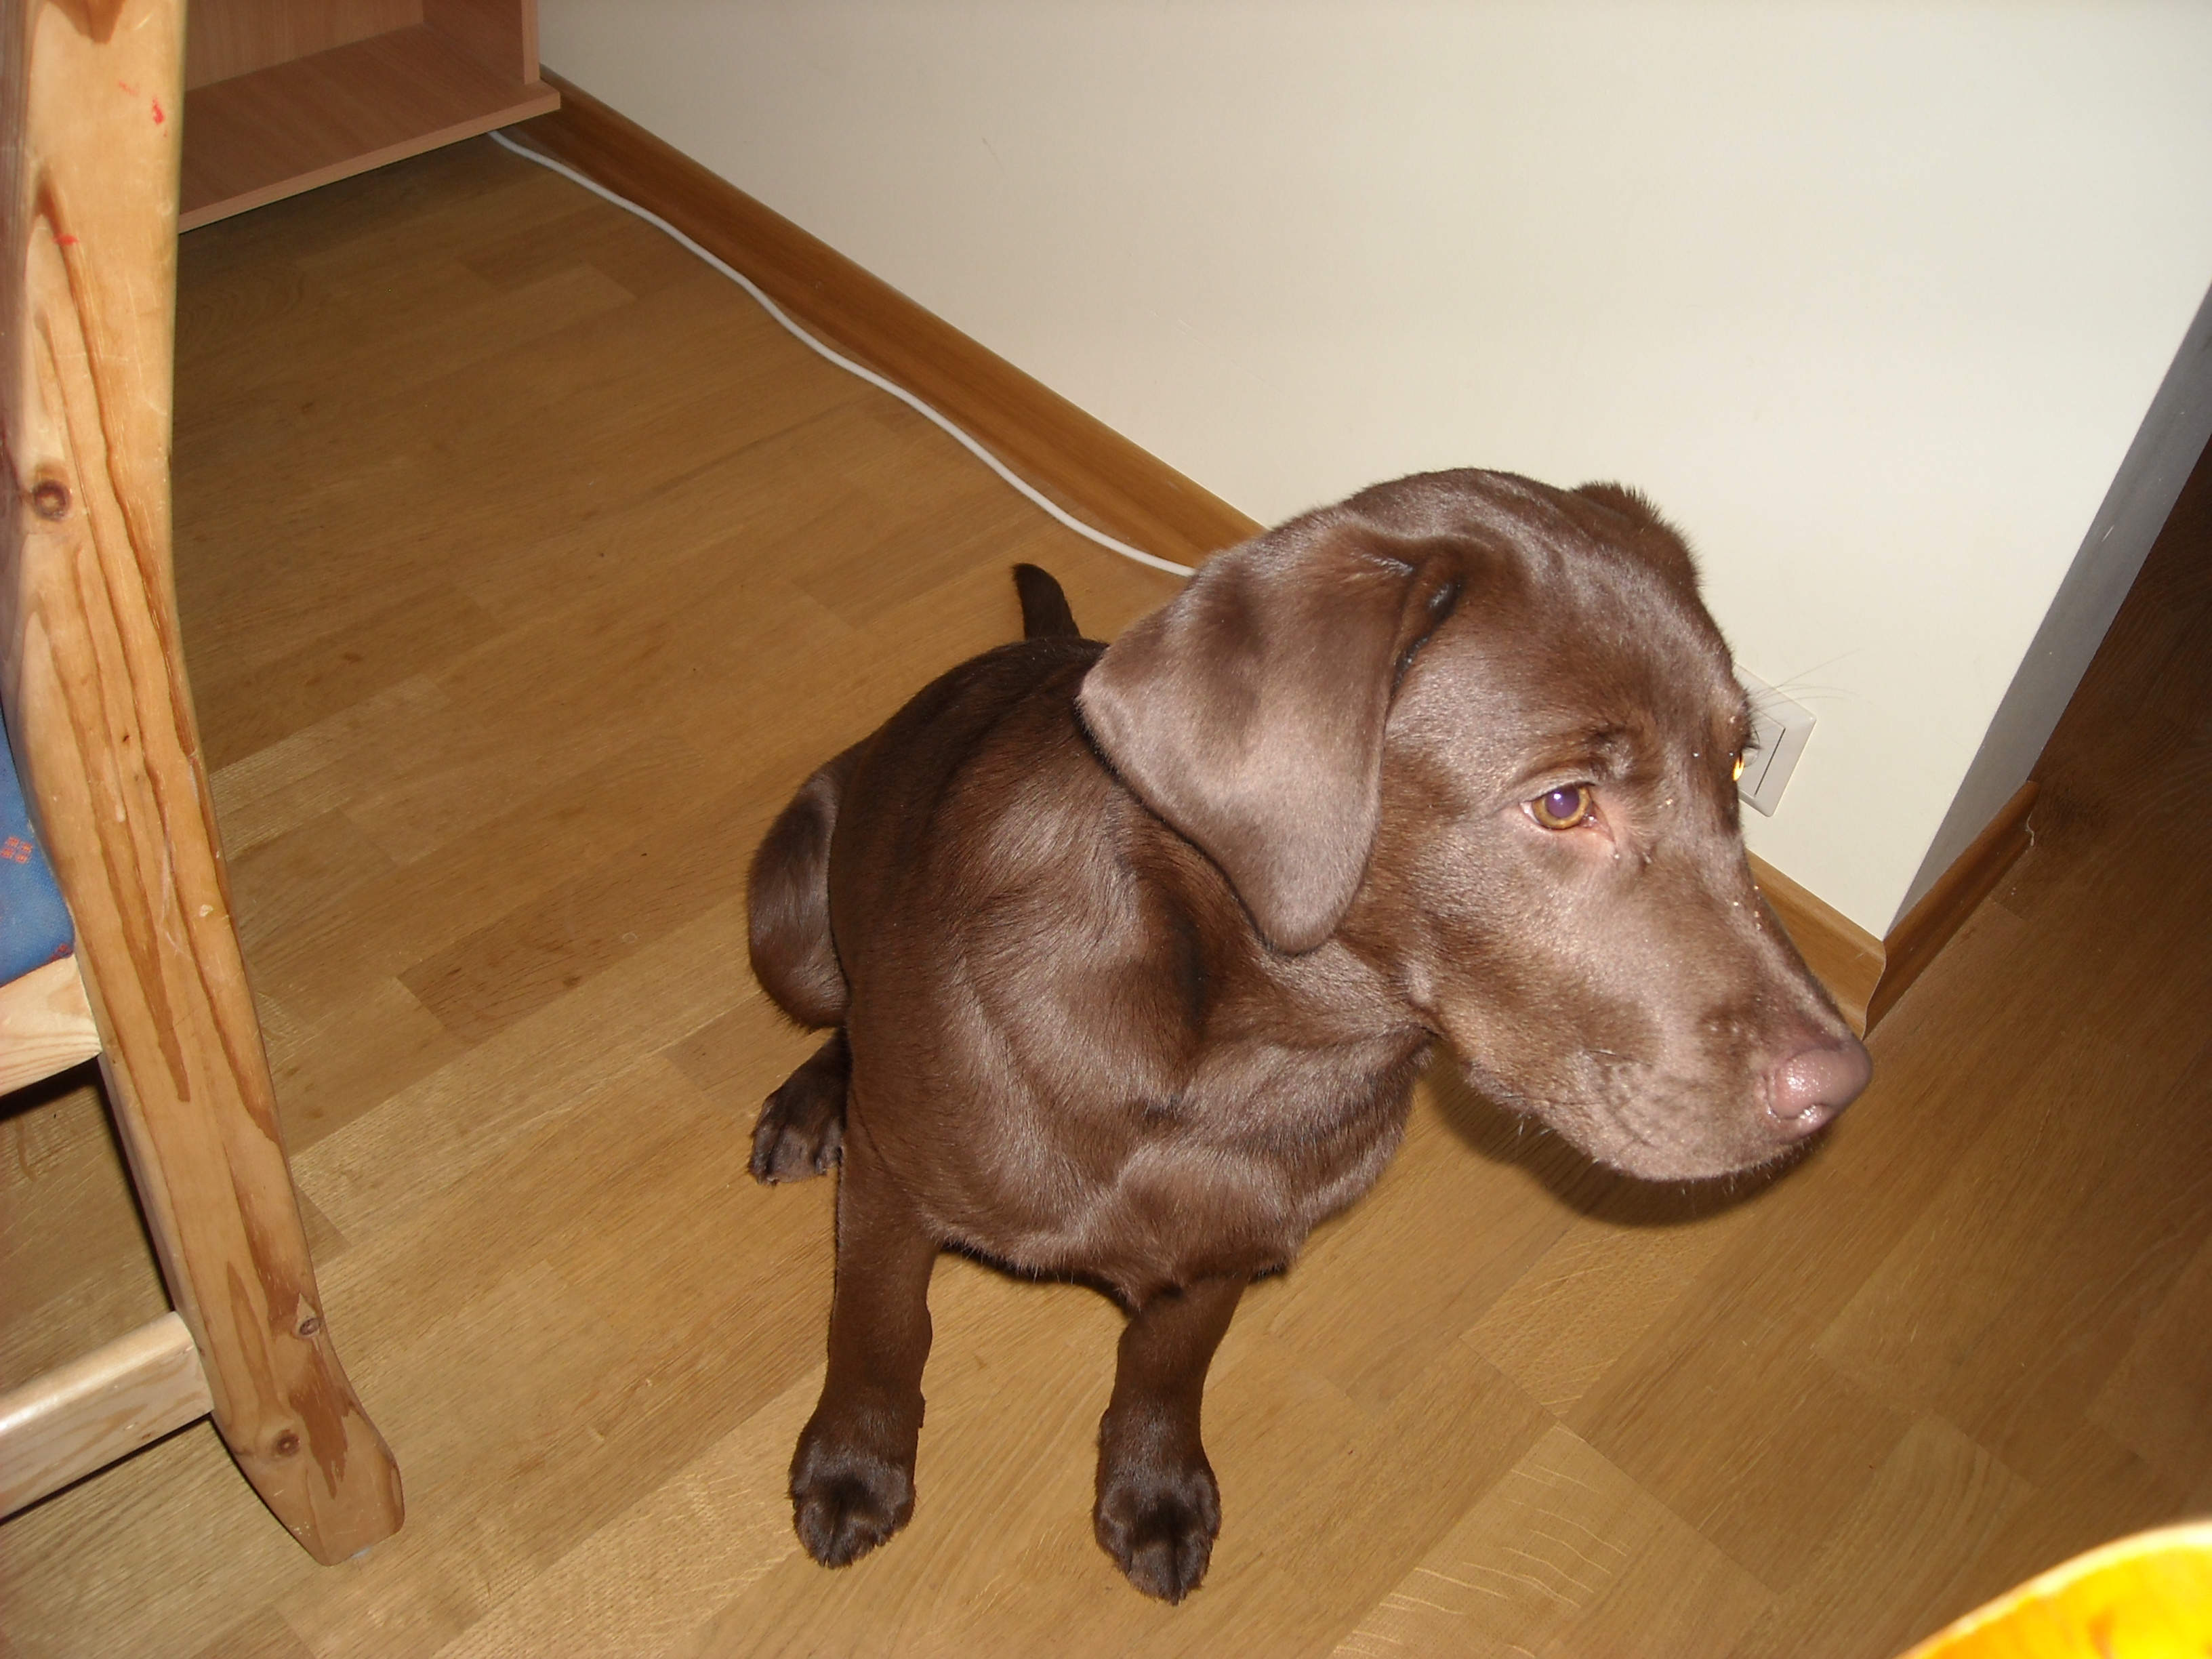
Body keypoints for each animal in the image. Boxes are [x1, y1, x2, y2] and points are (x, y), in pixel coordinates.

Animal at [745, 468, 1871, 1601]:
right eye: (1563, 803)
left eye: (1738, 770)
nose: (1841, 1088)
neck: (1242, 1061)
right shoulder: (894, 1193)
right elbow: (882, 1328)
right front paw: (854, 1466)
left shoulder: (1232, 1243)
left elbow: (1168, 1366)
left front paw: (1155, 1492)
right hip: (788, 926)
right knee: (845, 1015)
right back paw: (812, 1103)